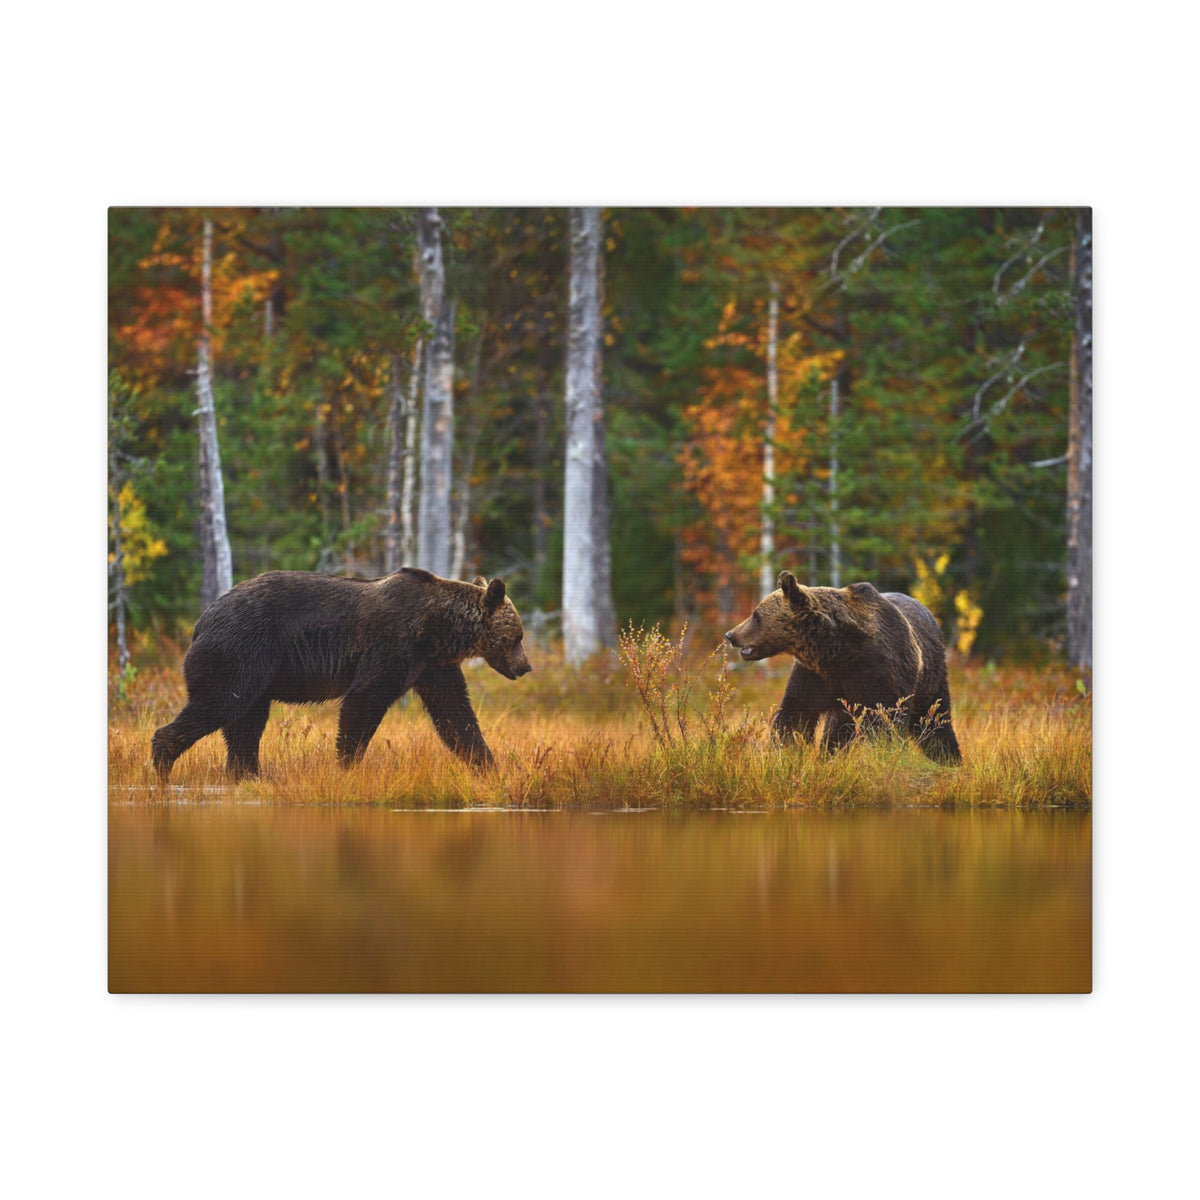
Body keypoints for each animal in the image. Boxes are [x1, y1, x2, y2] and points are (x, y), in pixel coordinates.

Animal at [151, 567, 531, 781]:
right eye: (518, 636)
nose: (526, 666)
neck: (438, 629)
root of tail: (202, 619)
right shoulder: (393, 644)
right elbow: (364, 700)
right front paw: (347, 766)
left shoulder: (431, 665)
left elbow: (455, 714)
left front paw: (488, 766)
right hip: (240, 650)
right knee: (219, 704)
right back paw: (163, 762)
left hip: (256, 671)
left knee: (246, 723)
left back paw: (248, 774)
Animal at [725, 571, 961, 764]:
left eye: (756, 615)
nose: (730, 634)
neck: (836, 651)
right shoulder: (816, 675)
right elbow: (796, 713)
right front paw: (784, 752)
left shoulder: (878, 671)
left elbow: (884, 720)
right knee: (837, 728)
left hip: (931, 676)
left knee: (934, 719)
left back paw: (949, 758)